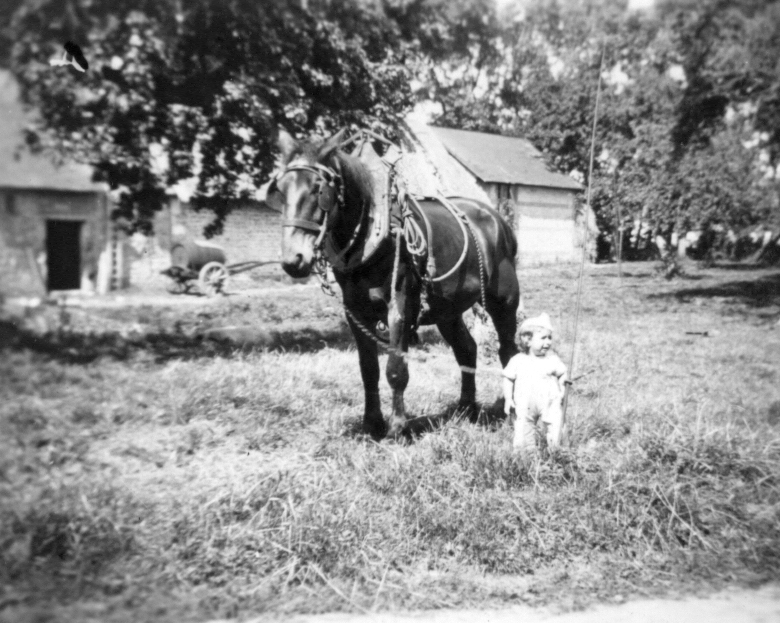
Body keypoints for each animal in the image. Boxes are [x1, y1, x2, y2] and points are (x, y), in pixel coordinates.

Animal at [268, 128, 516, 438]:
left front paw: (398, 427)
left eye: (319, 189)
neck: (370, 232)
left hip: (504, 300)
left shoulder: (400, 307)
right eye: (280, 189)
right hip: (447, 310)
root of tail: (498, 220)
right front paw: (372, 423)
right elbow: (369, 370)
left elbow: (396, 369)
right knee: (467, 349)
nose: (293, 259)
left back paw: (510, 411)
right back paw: (466, 409)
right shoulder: (356, 312)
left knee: (508, 350)